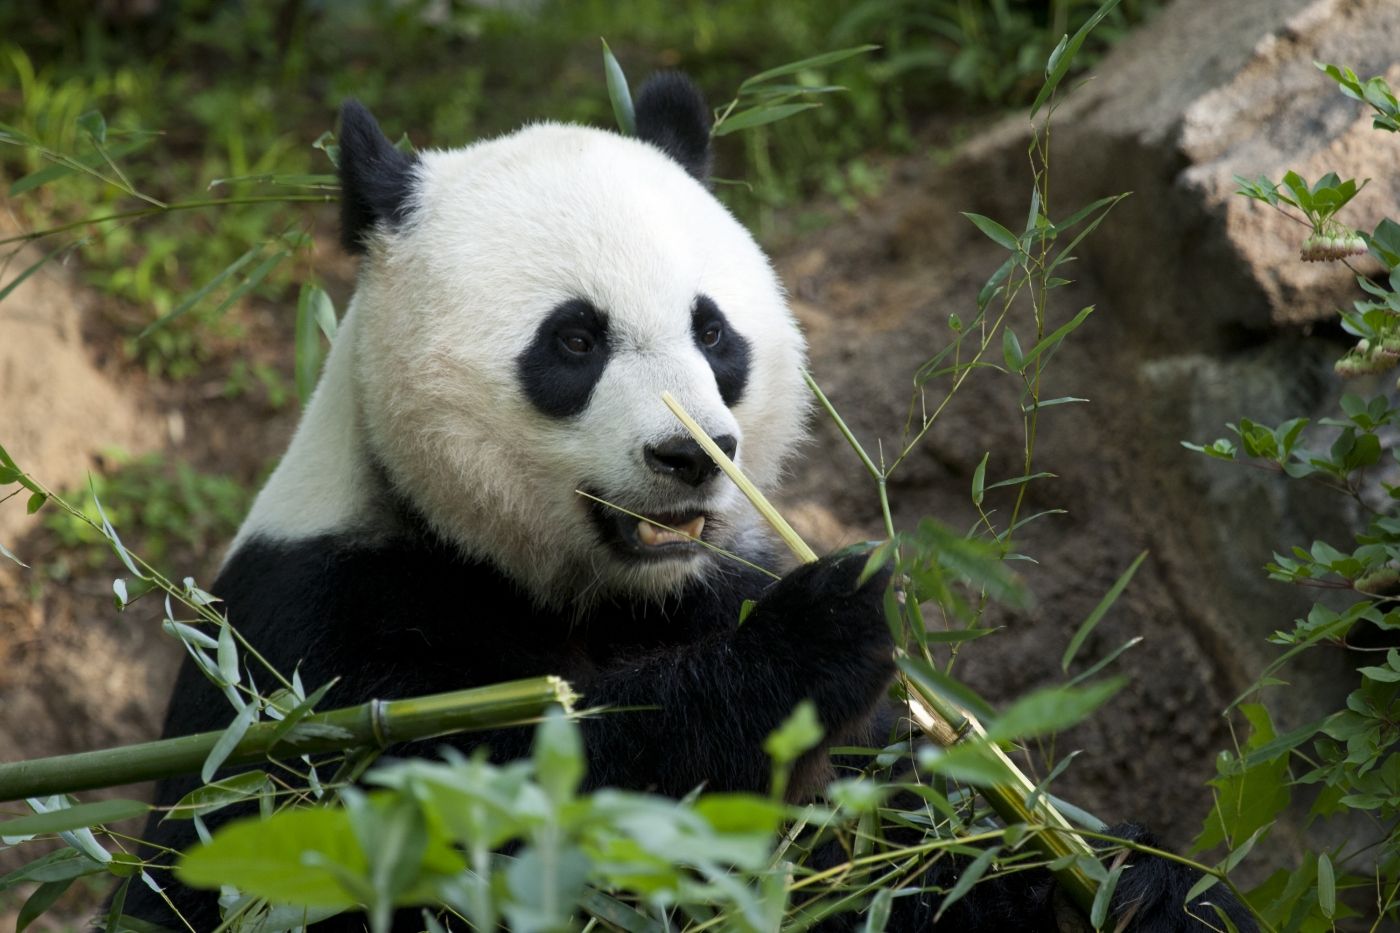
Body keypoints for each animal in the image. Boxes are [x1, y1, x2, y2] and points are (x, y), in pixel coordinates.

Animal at [123, 74, 1260, 930]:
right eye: (574, 339)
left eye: (712, 331)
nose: (691, 454)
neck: (583, 589)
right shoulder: (307, 653)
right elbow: (454, 817)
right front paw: (816, 635)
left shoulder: (718, 580)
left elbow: (918, 826)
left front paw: (1135, 881)